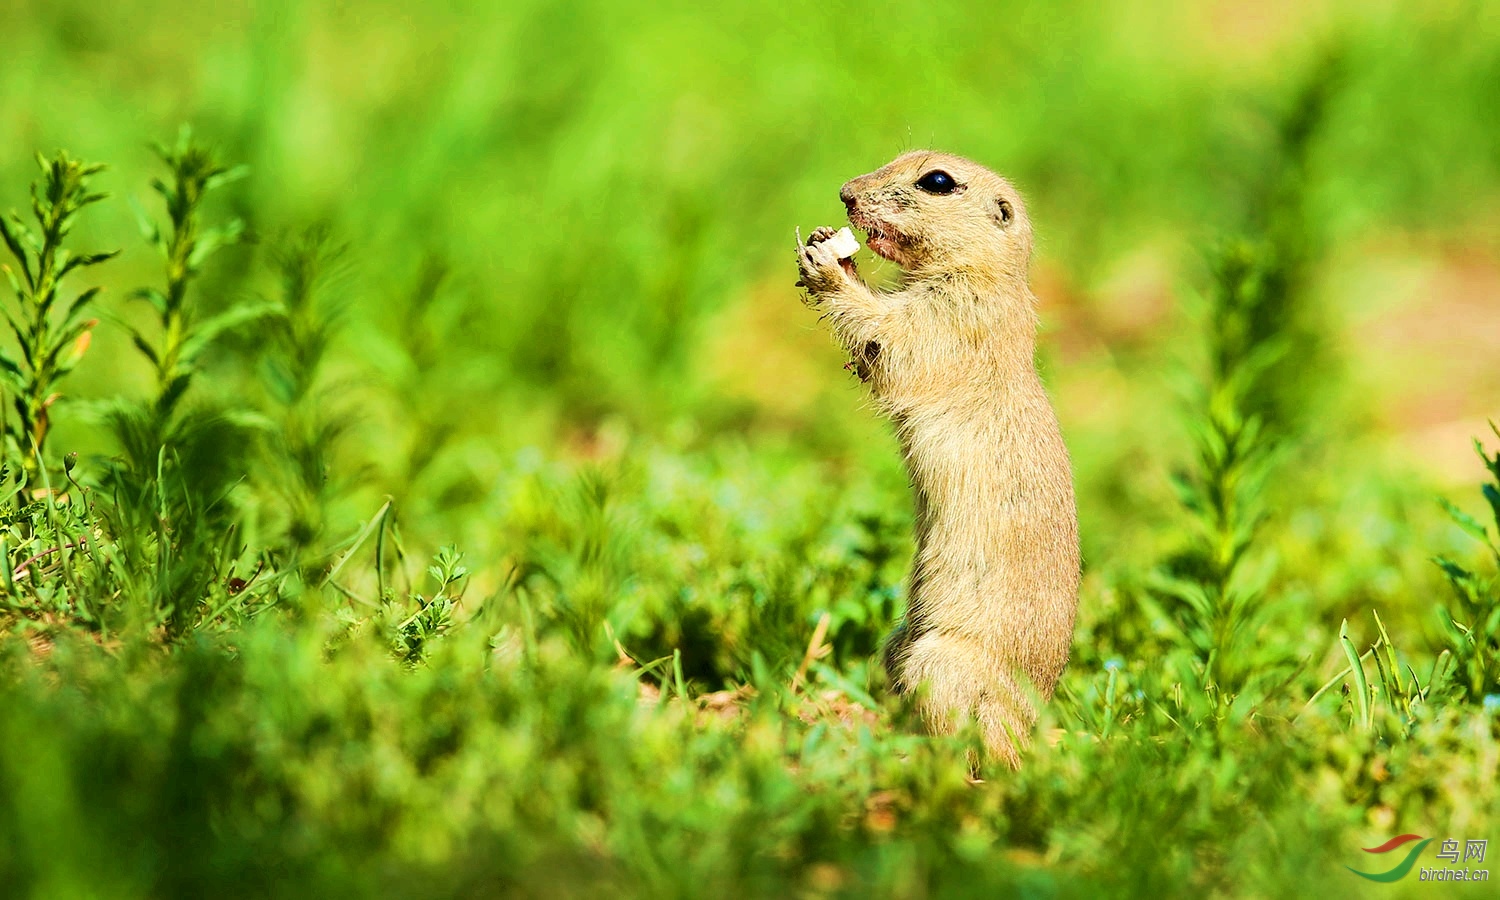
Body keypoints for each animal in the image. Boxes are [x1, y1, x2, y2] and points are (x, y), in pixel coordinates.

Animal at [798, 149, 1080, 765]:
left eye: (937, 181)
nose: (845, 192)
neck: (987, 275)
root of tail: (1026, 731)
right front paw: (828, 241)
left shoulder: (953, 318)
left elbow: (889, 340)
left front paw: (826, 264)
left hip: (941, 664)